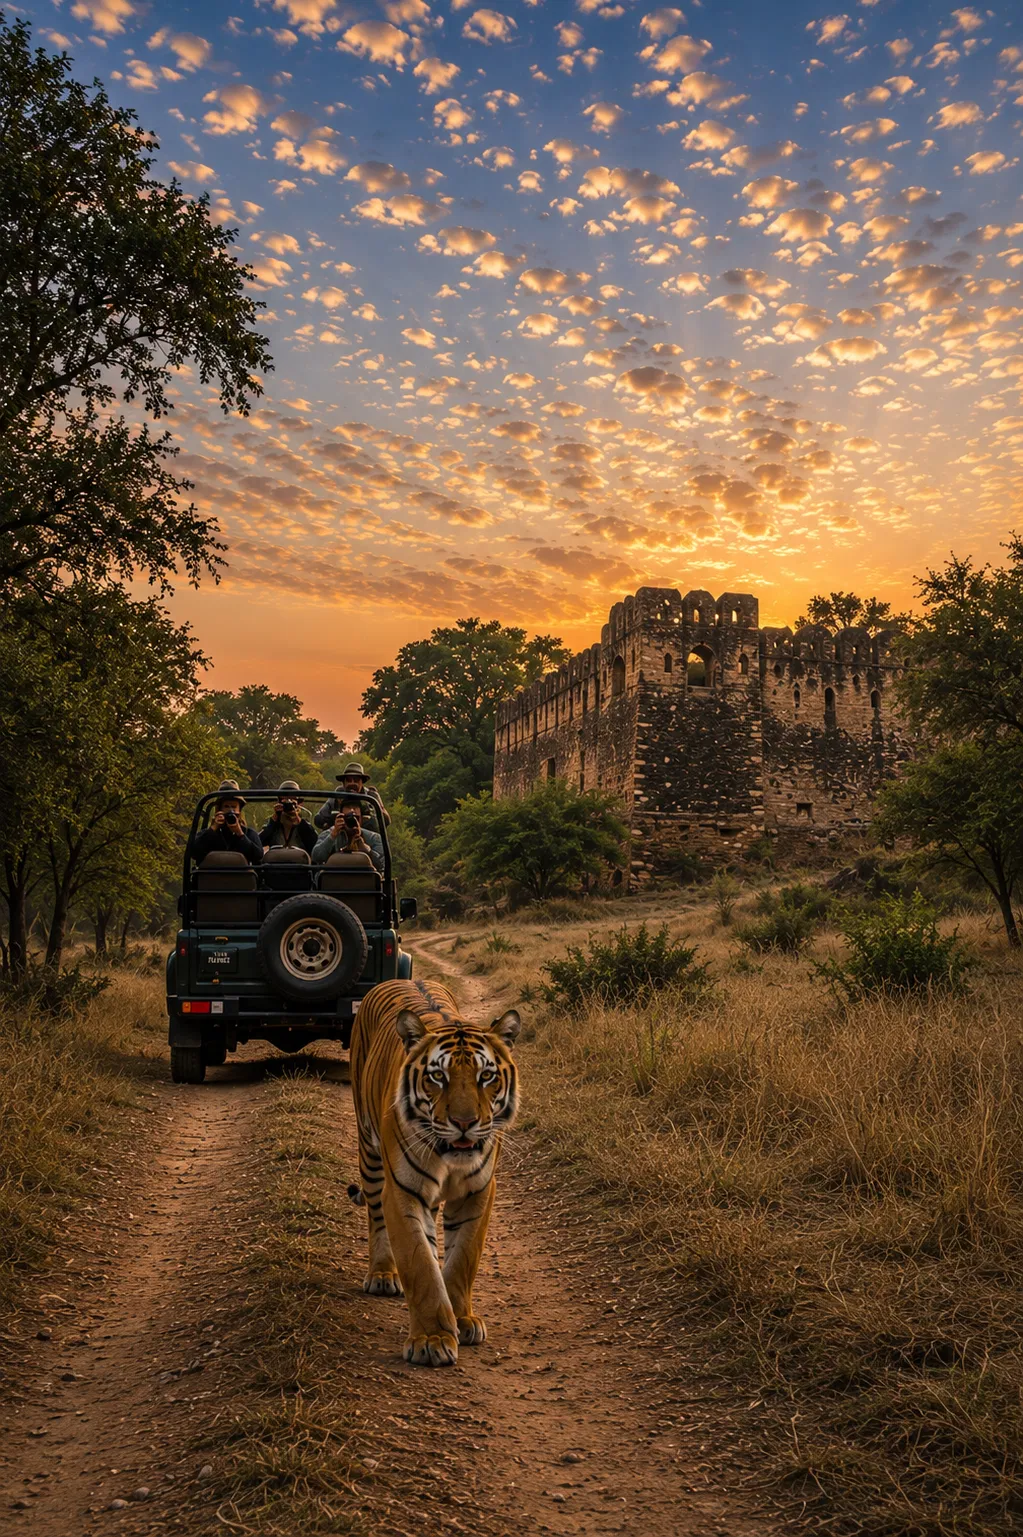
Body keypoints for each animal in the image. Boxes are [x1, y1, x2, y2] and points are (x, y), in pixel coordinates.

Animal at [348, 977, 520, 1368]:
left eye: (486, 1076)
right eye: (438, 1077)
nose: (464, 1123)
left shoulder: (478, 1193)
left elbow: (462, 1260)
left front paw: (462, 1319)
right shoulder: (402, 1192)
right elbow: (421, 1265)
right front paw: (431, 1340)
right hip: (370, 1153)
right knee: (375, 1217)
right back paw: (382, 1274)